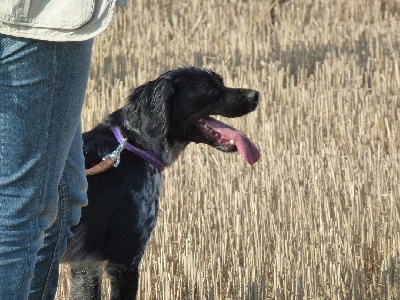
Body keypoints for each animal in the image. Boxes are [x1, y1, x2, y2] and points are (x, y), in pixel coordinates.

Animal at [63, 67, 260, 298]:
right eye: (209, 88)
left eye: (220, 81)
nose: (255, 95)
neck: (135, 144)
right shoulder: (125, 262)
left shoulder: (86, 265)